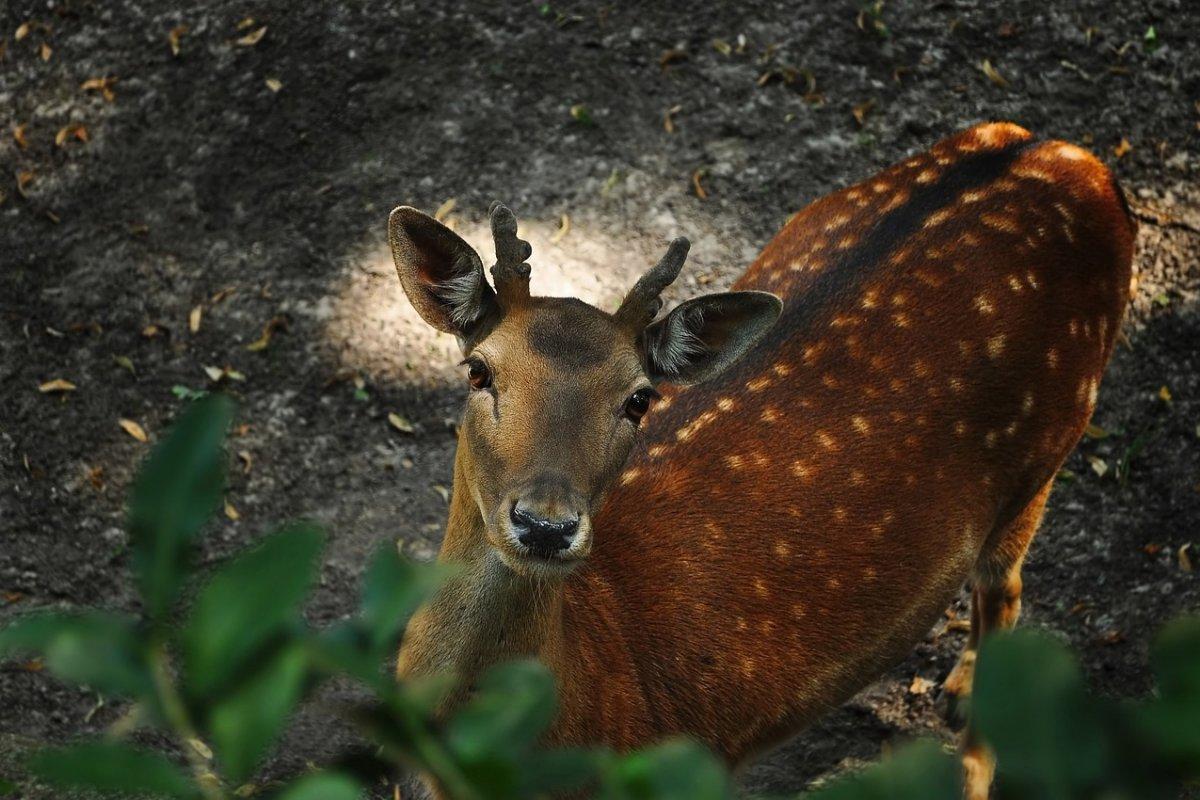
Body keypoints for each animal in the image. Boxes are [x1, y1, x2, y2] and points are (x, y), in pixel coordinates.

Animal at [386, 122, 1132, 796]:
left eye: (638, 399)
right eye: (479, 370)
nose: (546, 526)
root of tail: (1073, 155)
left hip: (1052, 440)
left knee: (1005, 590)